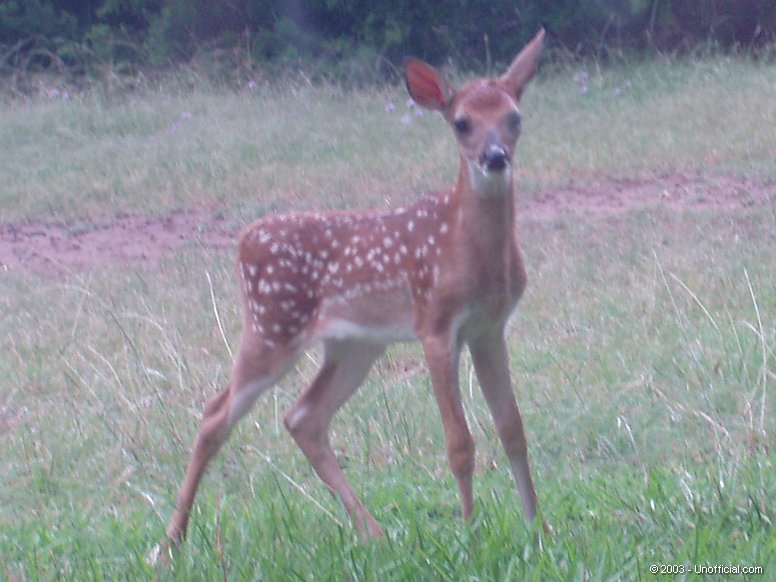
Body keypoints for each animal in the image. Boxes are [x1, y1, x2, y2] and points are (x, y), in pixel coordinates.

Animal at [164, 29, 546, 550]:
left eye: (514, 117)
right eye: (461, 123)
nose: (494, 157)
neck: (467, 246)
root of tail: (243, 241)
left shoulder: (490, 328)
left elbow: (513, 428)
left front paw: (537, 527)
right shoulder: (435, 322)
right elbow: (460, 442)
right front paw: (470, 532)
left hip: (354, 345)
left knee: (303, 417)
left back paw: (374, 532)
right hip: (272, 327)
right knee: (214, 414)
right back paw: (170, 542)